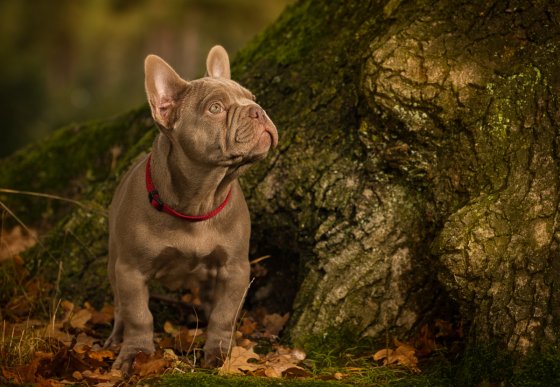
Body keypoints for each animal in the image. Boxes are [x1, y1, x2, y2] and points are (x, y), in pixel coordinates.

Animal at [104, 46, 278, 372]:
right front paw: (135, 353)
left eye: (253, 98)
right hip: (113, 260)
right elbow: (139, 315)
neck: (199, 199)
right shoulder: (131, 270)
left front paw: (219, 354)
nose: (257, 110)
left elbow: (223, 314)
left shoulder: (235, 268)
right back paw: (116, 337)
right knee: (120, 306)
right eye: (215, 108)